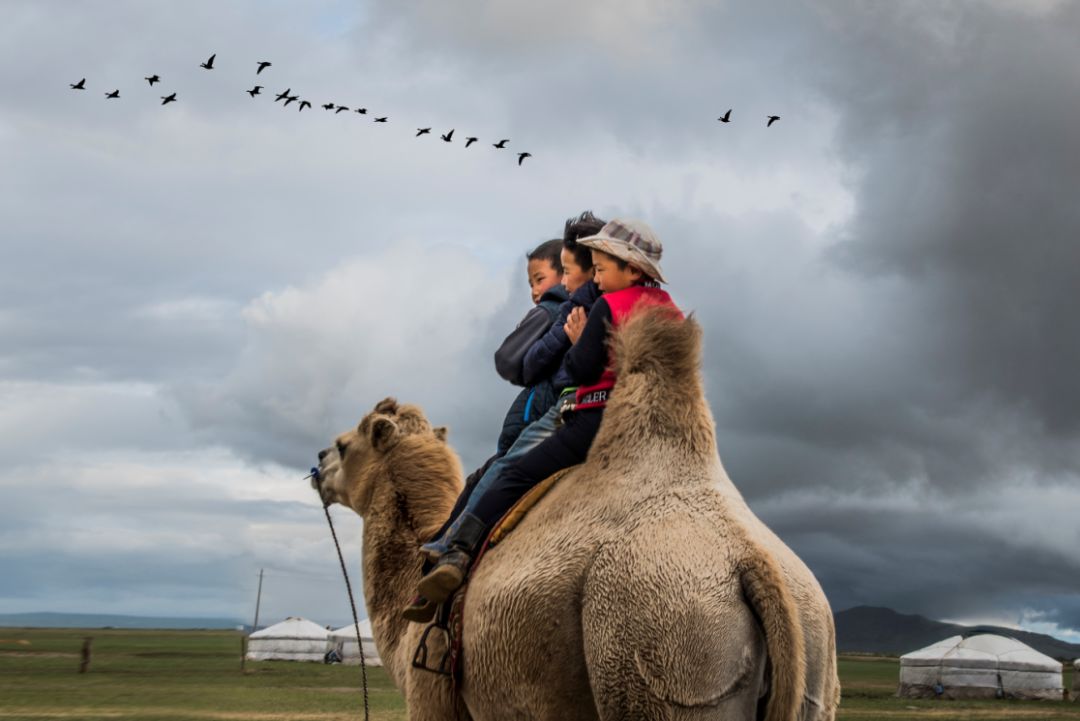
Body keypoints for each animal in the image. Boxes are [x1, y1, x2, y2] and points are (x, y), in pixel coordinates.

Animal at [315, 306, 838, 716]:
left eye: (345, 445)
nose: (318, 464)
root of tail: (752, 561)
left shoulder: (430, 696)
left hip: (667, 649)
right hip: (813, 654)